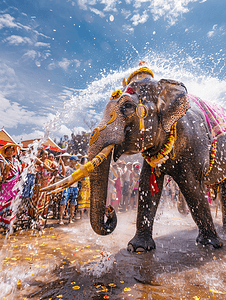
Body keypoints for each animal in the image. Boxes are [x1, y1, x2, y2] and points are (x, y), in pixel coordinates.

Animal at [42, 65, 226, 251]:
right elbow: (147, 184)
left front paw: (210, 245)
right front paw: (138, 248)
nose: (110, 209)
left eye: (128, 105)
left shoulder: (195, 143)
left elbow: (192, 187)